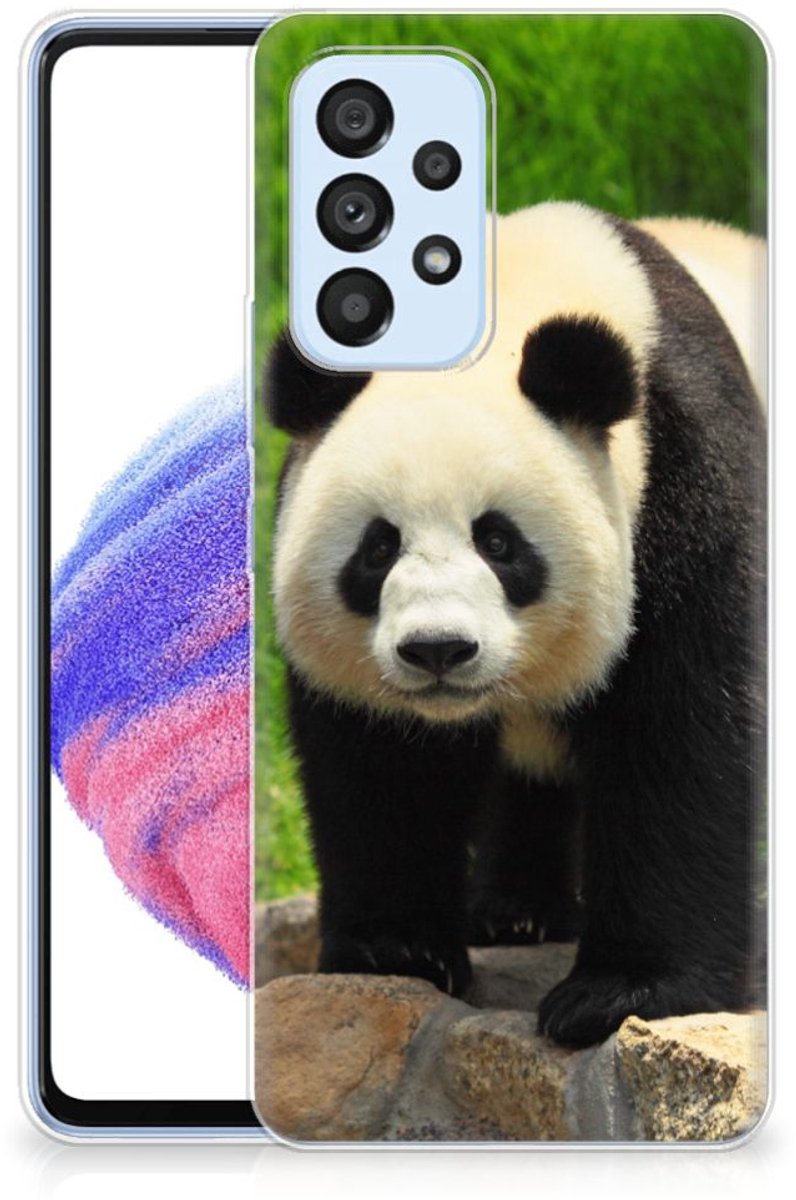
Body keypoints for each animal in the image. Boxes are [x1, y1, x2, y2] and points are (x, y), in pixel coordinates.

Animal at [264, 202, 766, 1048]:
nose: (438, 650)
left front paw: (620, 992)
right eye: (377, 547)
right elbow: (381, 764)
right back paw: (516, 912)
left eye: (498, 542)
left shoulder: (688, 480)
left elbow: (682, 733)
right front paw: (397, 950)